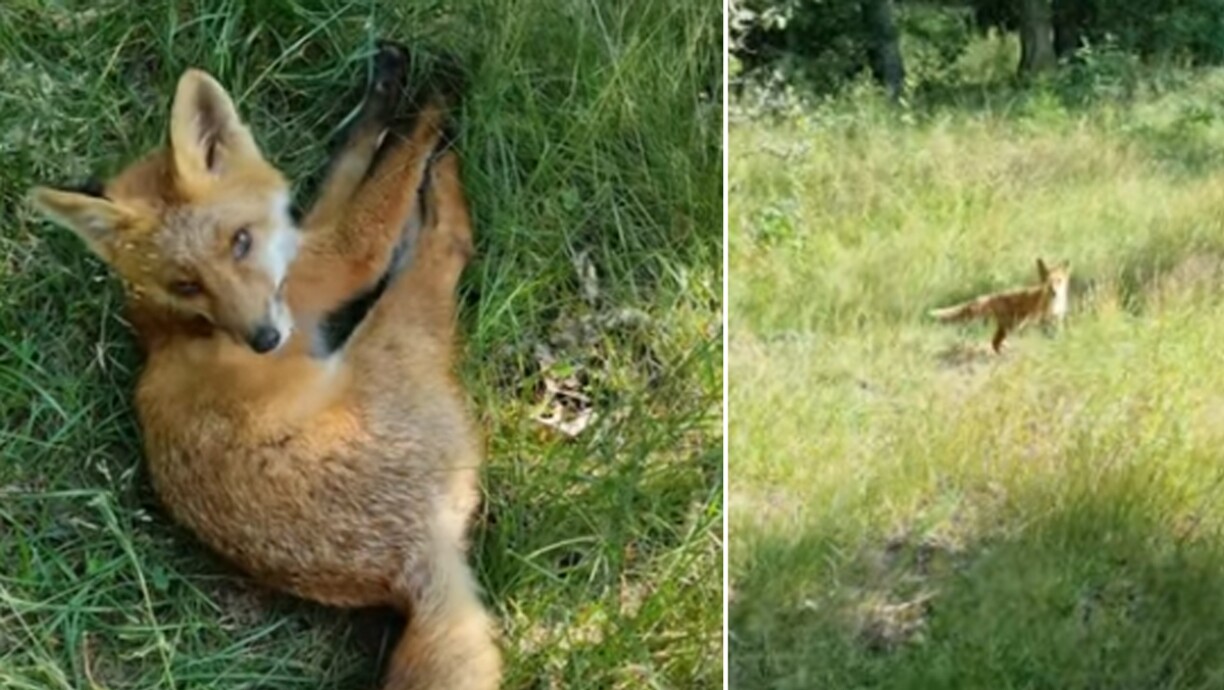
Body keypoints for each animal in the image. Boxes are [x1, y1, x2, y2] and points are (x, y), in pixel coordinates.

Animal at [29, 43, 501, 690]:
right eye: (187, 283)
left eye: (241, 242)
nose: (265, 340)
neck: (170, 322)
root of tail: (411, 558)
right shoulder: (340, 261)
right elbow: (389, 184)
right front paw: (431, 105)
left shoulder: (309, 238)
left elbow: (352, 163)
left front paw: (384, 91)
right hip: (395, 330)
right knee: (447, 242)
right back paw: (442, 181)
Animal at [929, 258, 1071, 353]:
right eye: (1048, 282)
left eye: (1059, 281)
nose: (1054, 292)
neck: (1054, 305)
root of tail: (982, 297)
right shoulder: (1037, 320)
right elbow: (1046, 334)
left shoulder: (1058, 320)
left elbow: (1058, 334)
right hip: (993, 324)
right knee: (977, 336)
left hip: (1003, 328)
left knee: (994, 343)